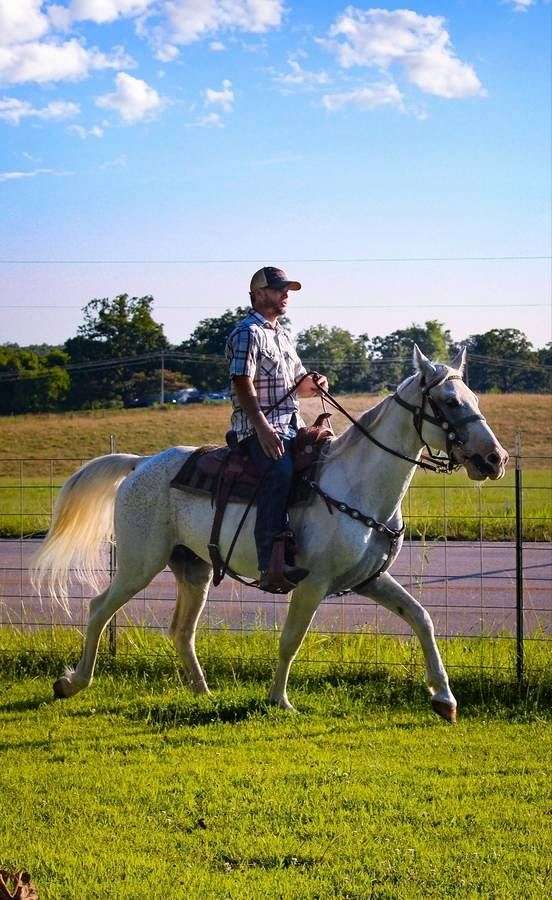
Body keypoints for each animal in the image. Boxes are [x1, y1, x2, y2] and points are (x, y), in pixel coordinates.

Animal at [33, 348, 508, 720]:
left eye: (474, 397)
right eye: (449, 401)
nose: (494, 458)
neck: (355, 484)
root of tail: (141, 463)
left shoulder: (369, 579)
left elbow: (421, 617)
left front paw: (445, 699)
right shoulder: (312, 584)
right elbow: (290, 640)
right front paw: (279, 700)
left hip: (193, 570)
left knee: (182, 631)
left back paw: (203, 692)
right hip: (138, 564)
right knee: (99, 608)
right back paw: (72, 683)